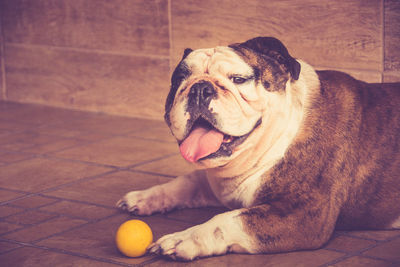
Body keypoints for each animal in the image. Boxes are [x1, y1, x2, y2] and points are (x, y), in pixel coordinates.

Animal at [117, 36, 400, 260]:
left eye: (239, 79)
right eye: (179, 80)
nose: (199, 88)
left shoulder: (304, 215)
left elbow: (228, 220)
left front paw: (184, 239)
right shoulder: (218, 186)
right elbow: (187, 181)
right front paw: (144, 198)